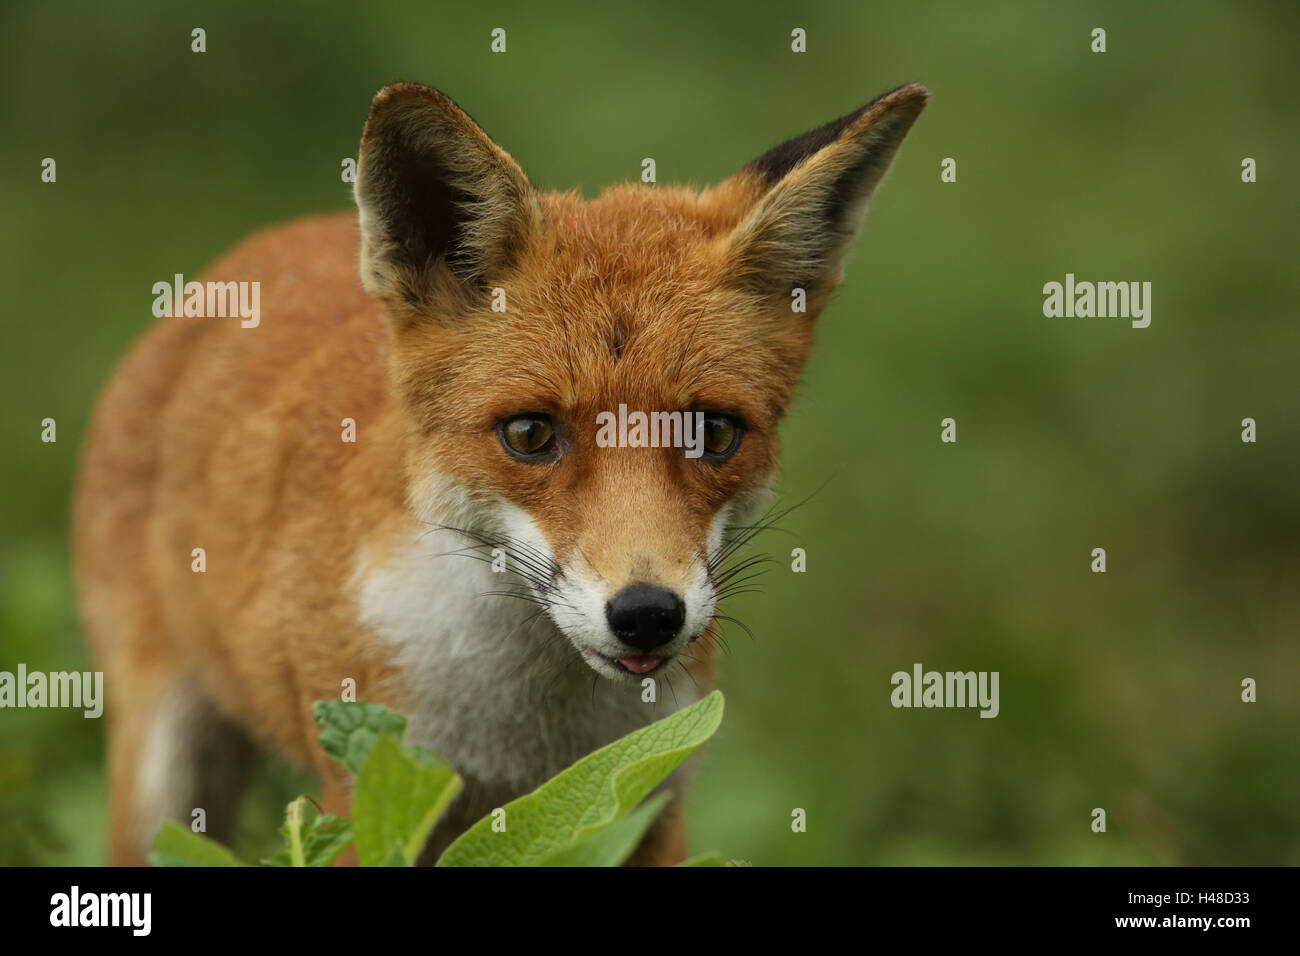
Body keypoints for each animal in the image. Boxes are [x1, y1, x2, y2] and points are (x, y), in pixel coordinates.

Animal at [73, 80, 925, 868]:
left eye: (714, 433)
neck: (528, 738)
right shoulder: (375, 792)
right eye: (530, 434)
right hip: (165, 775)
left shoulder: (647, 789)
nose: (648, 614)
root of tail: (252, 253)